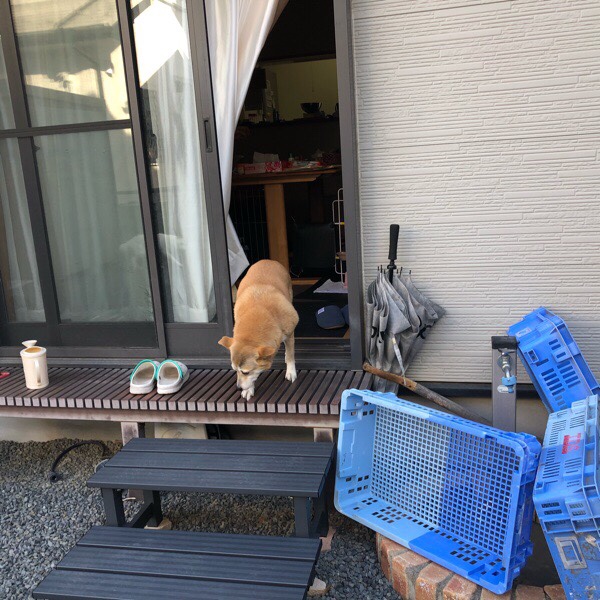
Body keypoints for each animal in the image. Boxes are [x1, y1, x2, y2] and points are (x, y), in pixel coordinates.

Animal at [218, 260, 299, 400]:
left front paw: (291, 372)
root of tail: (267, 261)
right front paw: (248, 390)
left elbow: (290, 355)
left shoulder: (289, 333)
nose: (238, 388)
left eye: (246, 372)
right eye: (235, 370)